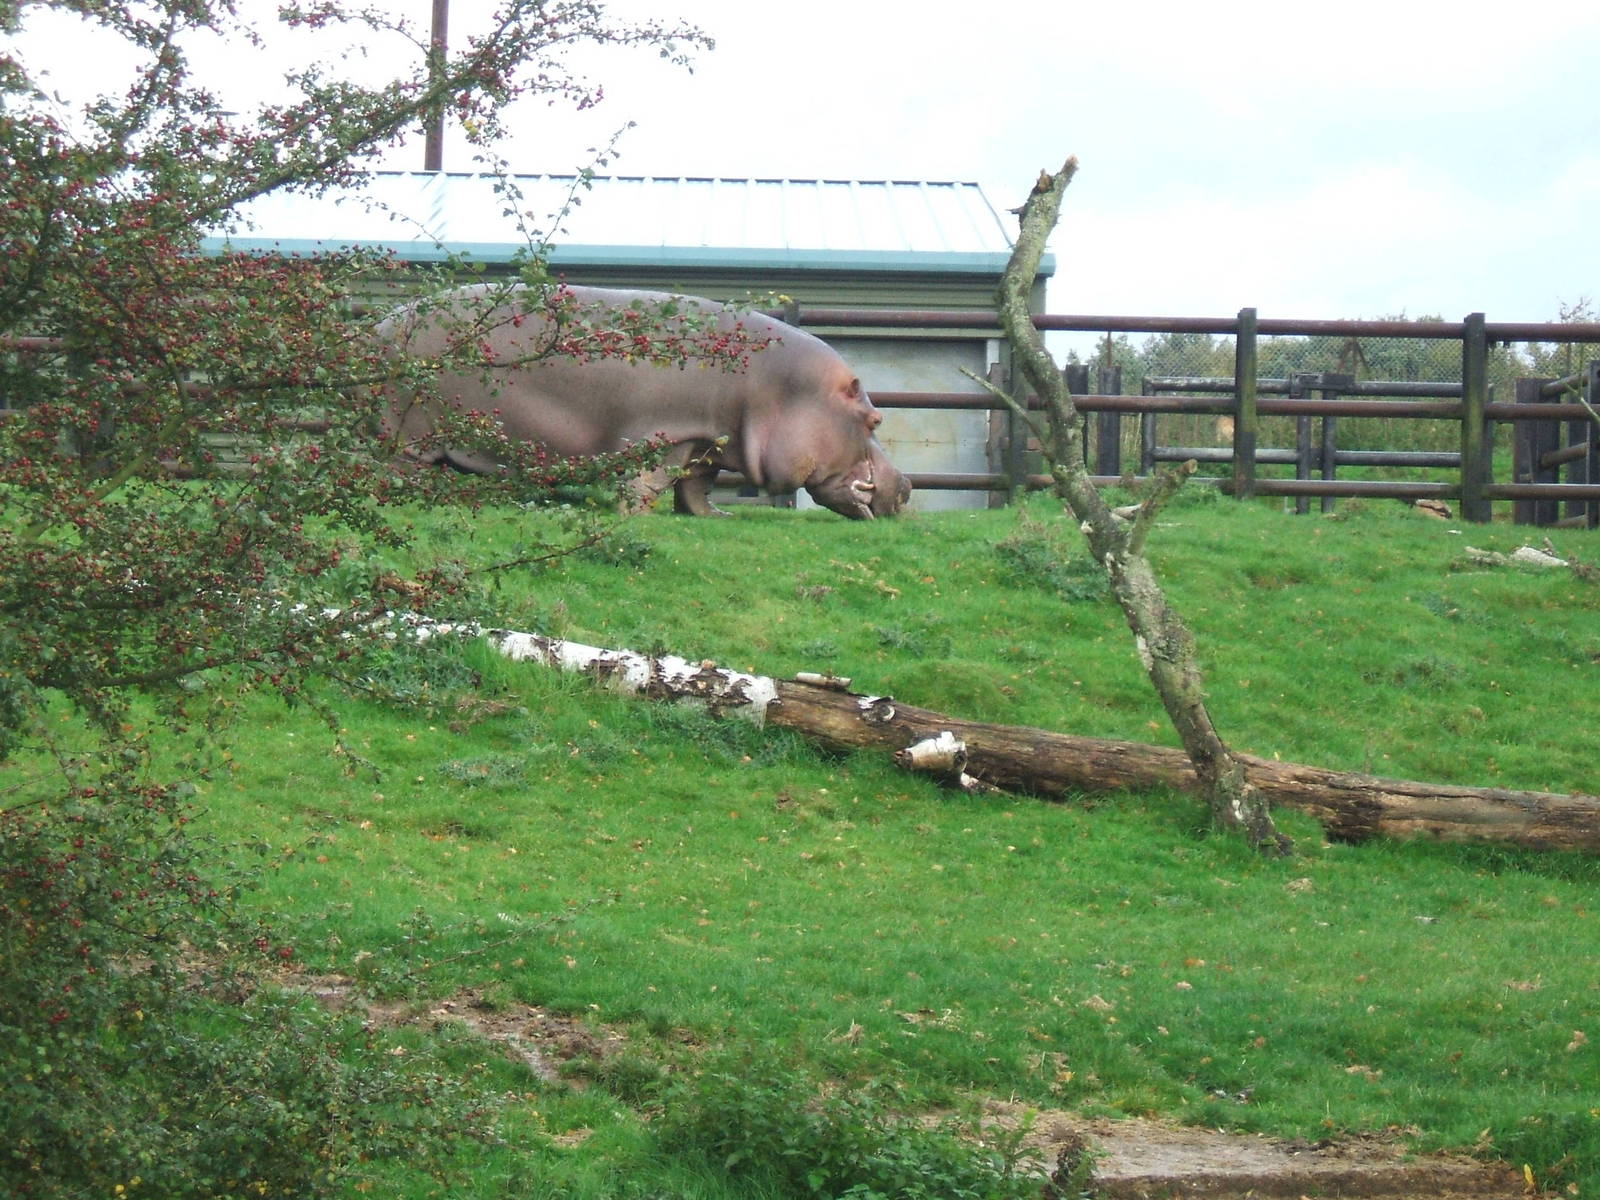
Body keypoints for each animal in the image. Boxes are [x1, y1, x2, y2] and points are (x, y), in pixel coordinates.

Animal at [378, 284, 911, 519]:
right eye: (874, 418)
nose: (905, 485)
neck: (778, 386)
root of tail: (381, 323)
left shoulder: (706, 440)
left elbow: (696, 486)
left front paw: (716, 517)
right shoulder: (668, 433)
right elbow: (654, 479)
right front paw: (635, 514)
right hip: (409, 432)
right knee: (397, 468)